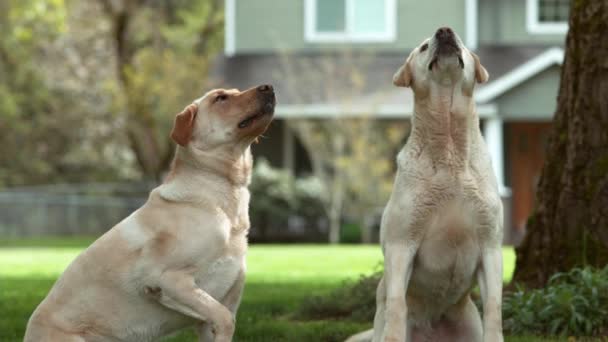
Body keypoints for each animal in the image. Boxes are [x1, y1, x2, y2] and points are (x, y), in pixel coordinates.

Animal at [25, 84, 276, 340]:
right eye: (221, 98)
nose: (268, 87)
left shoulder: (211, 314)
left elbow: (223, 318)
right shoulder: (165, 279)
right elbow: (226, 319)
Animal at [346, 26, 504, 342]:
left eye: (462, 43)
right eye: (423, 47)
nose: (445, 31)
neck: (449, 149)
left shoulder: (491, 245)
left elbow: (494, 303)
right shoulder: (401, 244)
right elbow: (397, 302)